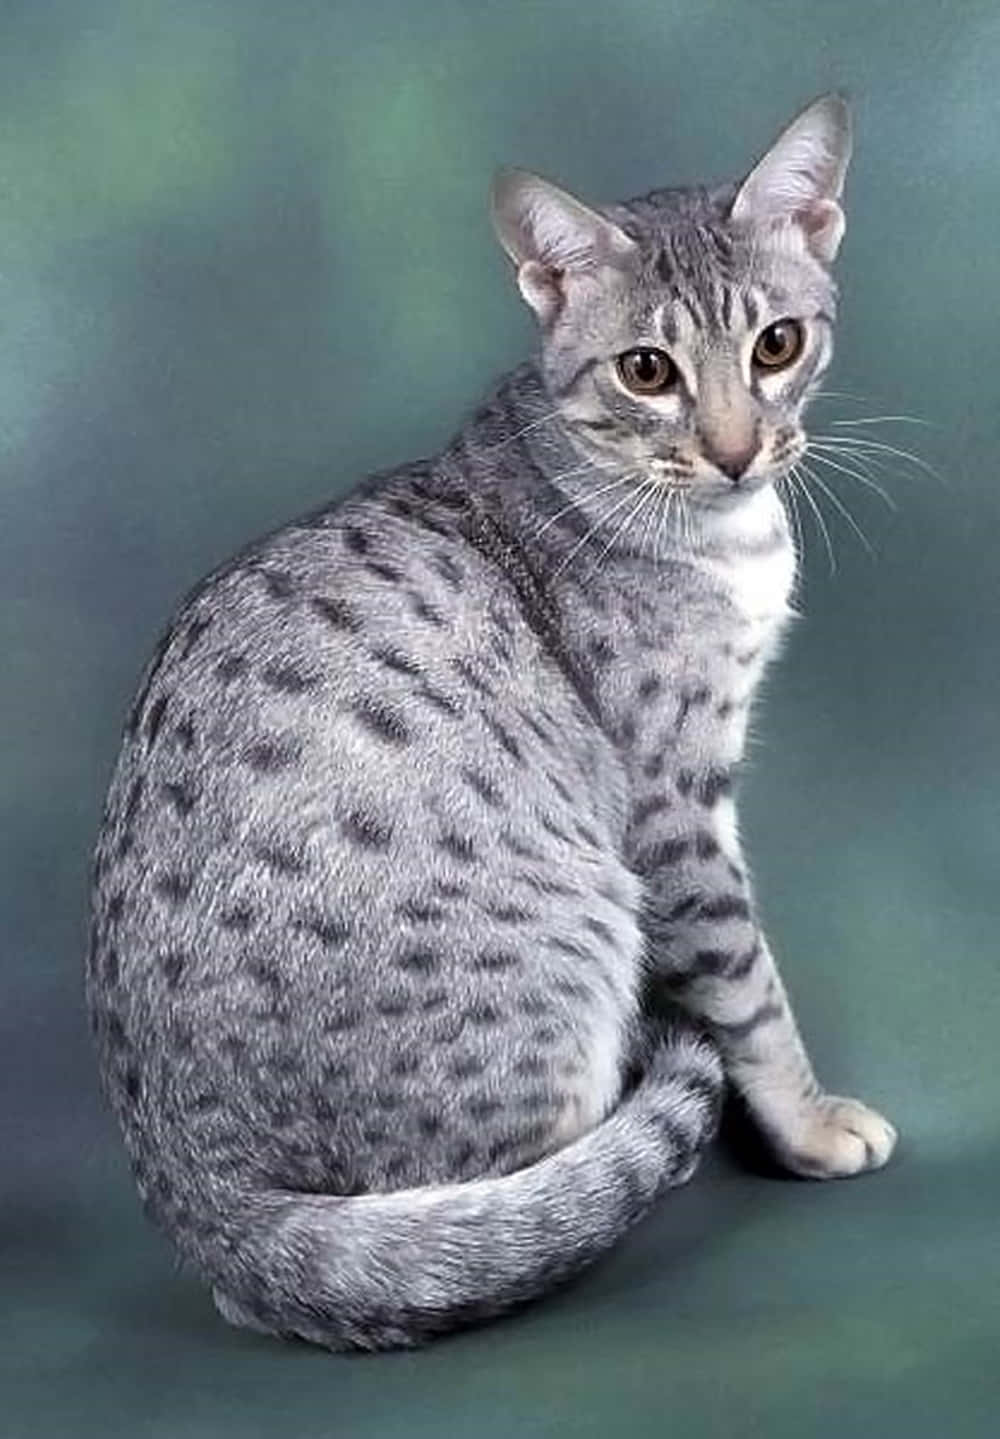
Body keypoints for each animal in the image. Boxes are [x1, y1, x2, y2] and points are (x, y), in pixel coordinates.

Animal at [88, 95, 897, 1352]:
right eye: (646, 369)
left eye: (776, 344)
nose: (732, 449)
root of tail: (203, 1205)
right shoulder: (672, 800)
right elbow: (747, 981)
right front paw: (807, 1123)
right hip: (579, 922)